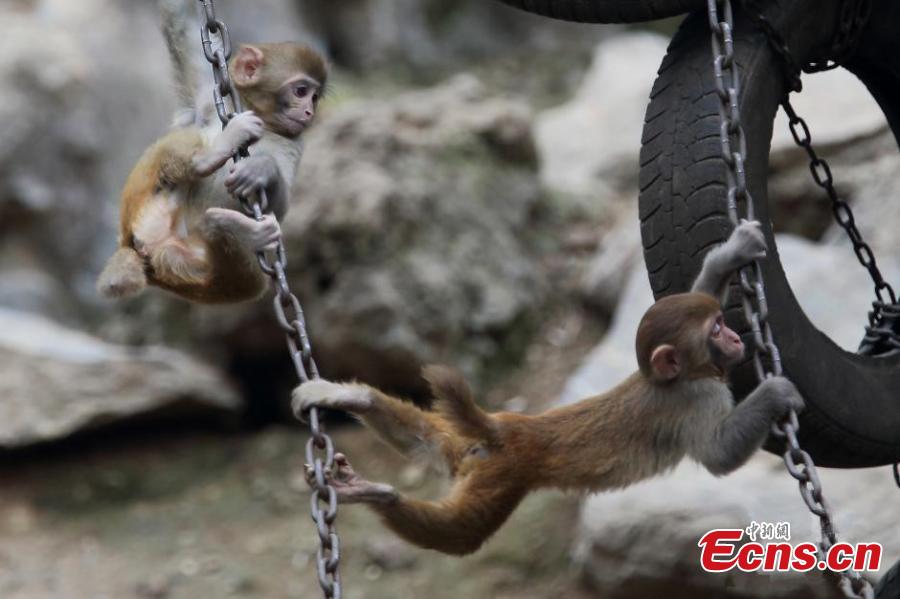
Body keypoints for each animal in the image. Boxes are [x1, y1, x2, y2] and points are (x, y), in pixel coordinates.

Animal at [97, 4, 326, 302]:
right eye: (301, 91)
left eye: (315, 97)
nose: (309, 112)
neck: (257, 113)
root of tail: (135, 245)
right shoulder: (208, 96)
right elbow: (179, 27)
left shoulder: (294, 143)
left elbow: (279, 205)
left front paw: (262, 169)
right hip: (138, 196)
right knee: (186, 140)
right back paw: (209, 160)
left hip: (193, 270)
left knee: (244, 276)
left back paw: (229, 228)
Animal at [292, 221, 804, 556]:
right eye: (716, 330)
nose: (736, 338)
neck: (675, 376)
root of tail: (506, 433)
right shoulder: (700, 398)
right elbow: (718, 454)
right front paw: (776, 392)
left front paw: (728, 256)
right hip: (505, 479)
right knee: (461, 535)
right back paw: (376, 494)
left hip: (473, 449)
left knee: (430, 443)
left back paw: (351, 398)